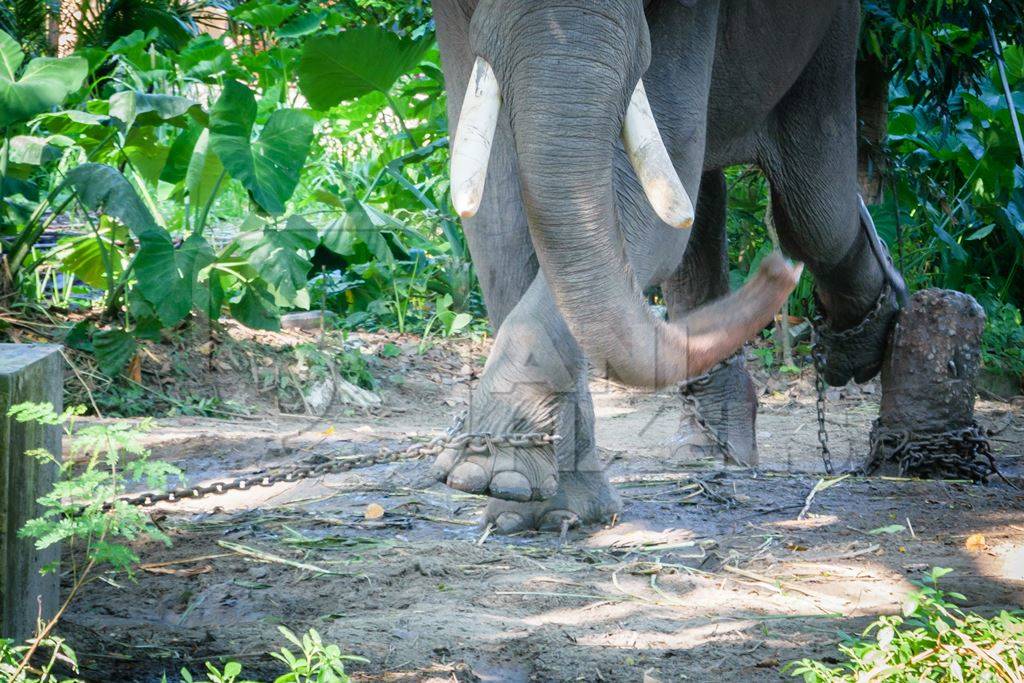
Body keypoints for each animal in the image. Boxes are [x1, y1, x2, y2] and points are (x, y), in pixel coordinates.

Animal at [428, 0, 909, 532]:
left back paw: (868, 339)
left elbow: (662, 180)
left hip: (832, 38)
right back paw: (709, 449)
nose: (776, 272)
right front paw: (529, 501)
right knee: (728, 200)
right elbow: (494, 212)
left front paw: (487, 467)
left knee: (815, 215)